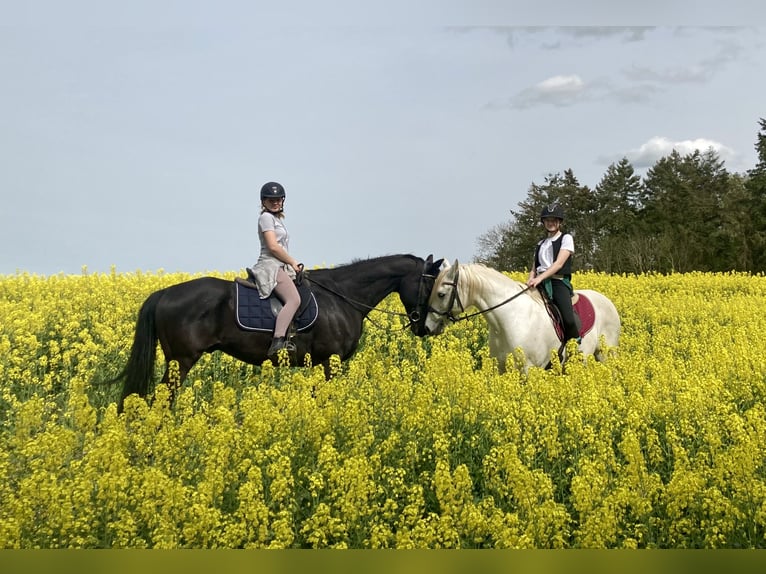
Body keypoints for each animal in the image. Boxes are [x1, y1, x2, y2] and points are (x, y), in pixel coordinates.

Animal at [114, 254, 444, 412]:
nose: (426, 327)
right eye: (431, 284)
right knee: (161, 400)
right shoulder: (331, 362)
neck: (342, 296)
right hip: (180, 361)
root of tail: (164, 293)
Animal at [426, 260, 624, 374]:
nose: (426, 327)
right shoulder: (501, 368)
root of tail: (607, 301)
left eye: (441, 294)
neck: (509, 319)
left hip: (607, 354)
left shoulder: (529, 369)